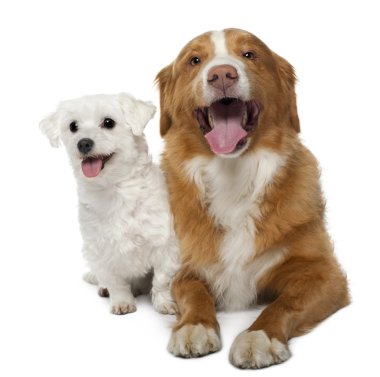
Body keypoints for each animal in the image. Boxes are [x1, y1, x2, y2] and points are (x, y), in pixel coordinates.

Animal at [40, 93, 180, 314]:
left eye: (108, 122)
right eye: (73, 126)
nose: (83, 143)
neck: (116, 190)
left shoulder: (165, 245)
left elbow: (161, 280)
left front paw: (164, 303)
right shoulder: (101, 252)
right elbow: (116, 282)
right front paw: (122, 301)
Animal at [156, 28, 348, 368]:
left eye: (249, 54)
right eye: (194, 60)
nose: (222, 74)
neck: (233, 177)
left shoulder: (324, 272)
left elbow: (285, 303)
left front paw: (259, 336)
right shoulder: (187, 264)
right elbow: (193, 292)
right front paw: (193, 326)